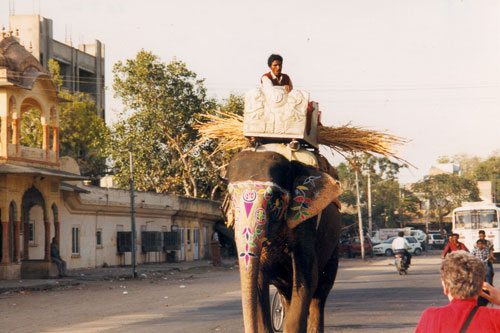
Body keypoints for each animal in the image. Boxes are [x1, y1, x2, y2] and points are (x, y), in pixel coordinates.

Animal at [225, 149, 342, 330]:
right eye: (231, 198)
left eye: (274, 198)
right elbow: (259, 282)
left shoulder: (305, 223)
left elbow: (307, 279)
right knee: (287, 294)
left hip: (334, 247)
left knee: (319, 295)